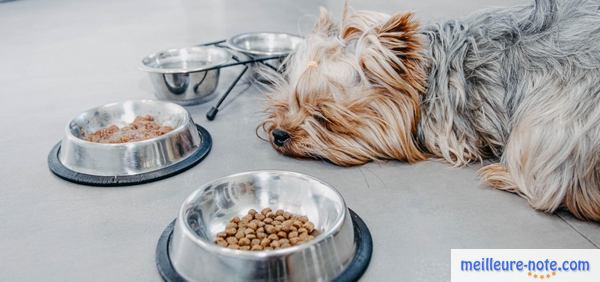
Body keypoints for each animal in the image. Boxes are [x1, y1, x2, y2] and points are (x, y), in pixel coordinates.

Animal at [258, 0, 600, 220]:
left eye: (323, 116)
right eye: (285, 103)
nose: (279, 134)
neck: (426, 76)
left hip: (553, 114)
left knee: (544, 187)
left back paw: (503, 174)